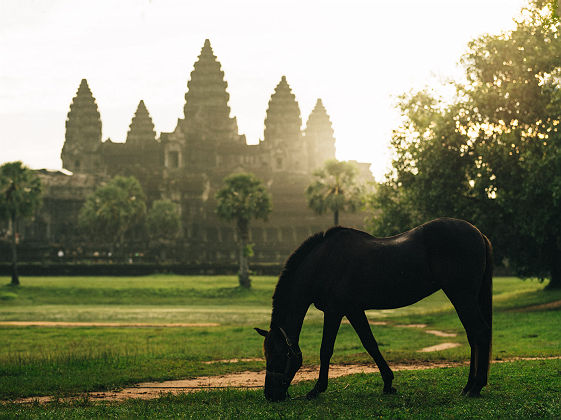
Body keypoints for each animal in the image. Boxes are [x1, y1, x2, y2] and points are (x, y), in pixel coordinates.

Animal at [256, 218, 492, 402]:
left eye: (278, 355)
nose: (270, 394)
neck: (323, 263)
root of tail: (478, 233)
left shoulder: (334, 312)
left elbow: (326, 350)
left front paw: (316, 390)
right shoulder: (354, 310)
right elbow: (370, 344)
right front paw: (388, 383)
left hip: (461, 296)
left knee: (479, 332)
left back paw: (476, 387)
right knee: (473, 335)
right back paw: (468, 386)